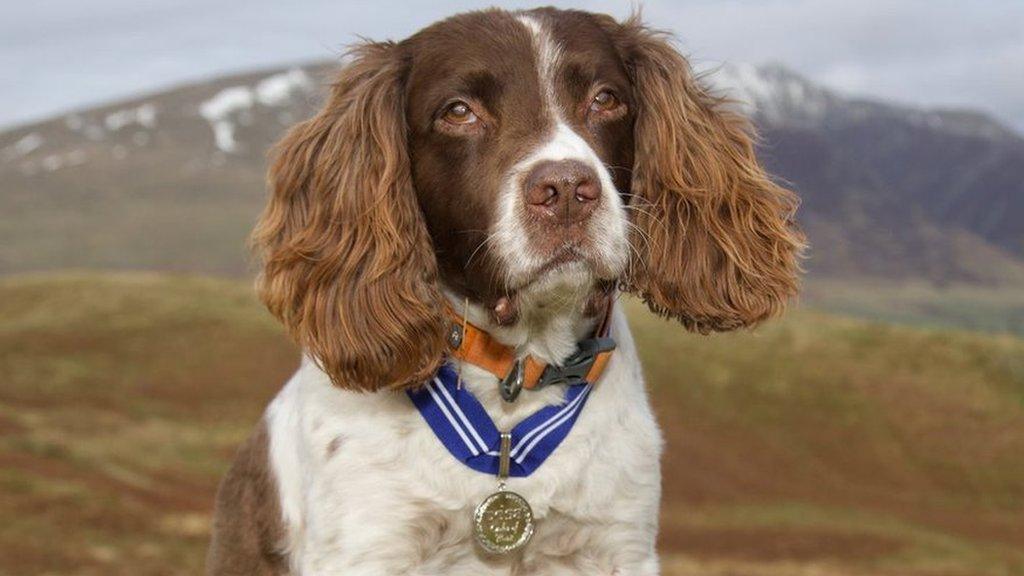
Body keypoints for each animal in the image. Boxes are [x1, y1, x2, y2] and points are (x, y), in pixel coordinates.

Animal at [205, 6, 798, 569]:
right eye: (458, 111)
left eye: (606, 99)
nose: (567, 190)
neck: (514, 379)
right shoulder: (369, 543)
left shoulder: (615, 542)